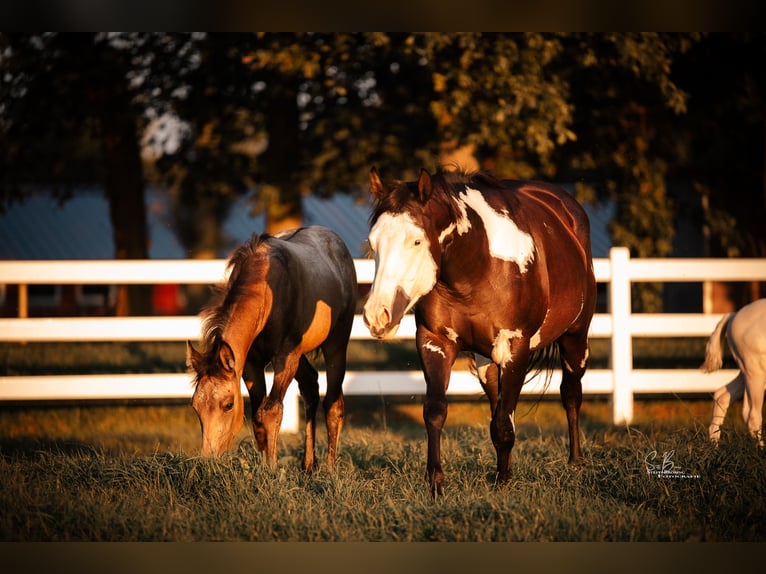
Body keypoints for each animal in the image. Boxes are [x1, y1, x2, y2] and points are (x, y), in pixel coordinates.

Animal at [186, 226, 357, 471]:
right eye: (195, 405)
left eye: (228, 405)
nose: (208, 461)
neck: (268, 291)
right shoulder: (251, 364)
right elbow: (257, 415)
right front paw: (263, 465)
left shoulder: (285, 357)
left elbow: (272, 410)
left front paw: (272, 469)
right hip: (301, 355)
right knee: (310, 386)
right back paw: (308, 465)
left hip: (336, 342)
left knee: (333, 403)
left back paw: (330, 469)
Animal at [363, 167, 596, 496]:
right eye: (373, 243)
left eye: (417, 242)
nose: (377, 315)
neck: (478, 267)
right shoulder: (435, 343)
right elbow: (436, 412)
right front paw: (436, 484)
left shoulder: (515, 349)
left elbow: (503, 425)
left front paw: (502, 486)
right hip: (487, 364)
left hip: (575, 339)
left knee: (571, 395)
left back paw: (574, 462)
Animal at [702, 298, 766, 446]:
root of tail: (734, 316)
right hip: (756, 373)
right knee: (752, 415)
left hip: (747, 373)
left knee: (721, 397)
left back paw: (714, 445)